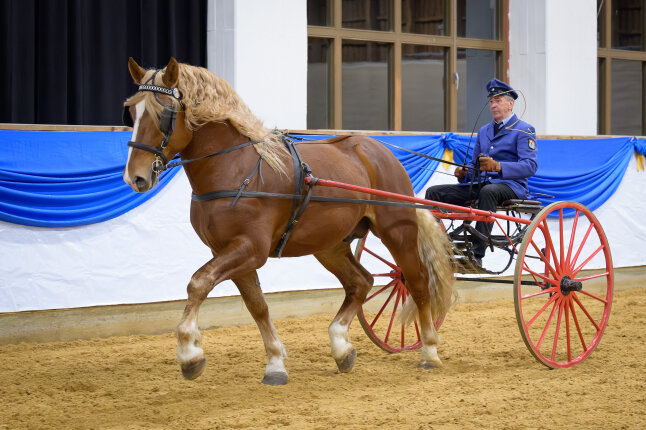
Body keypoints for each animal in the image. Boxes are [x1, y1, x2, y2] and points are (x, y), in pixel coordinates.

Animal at [123, 57, 456, 382]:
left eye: (163, 113)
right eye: (132, 110)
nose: (135, 177)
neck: (235, 168)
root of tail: (379, 150)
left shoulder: (250, 248)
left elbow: (198, 282)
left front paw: (189, 353)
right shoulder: (228, 251)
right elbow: (257, 305)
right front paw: (274, 363)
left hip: (396, 231)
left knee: (416, 282)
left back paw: (429, 351)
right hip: (330, 244)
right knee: (361, 282)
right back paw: (341, 347)